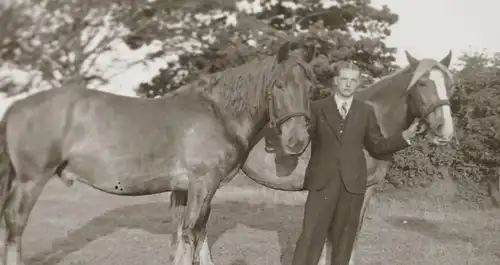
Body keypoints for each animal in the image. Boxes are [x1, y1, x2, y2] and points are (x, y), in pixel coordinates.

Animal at [0, 41, 316, 264]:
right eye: (278, 85)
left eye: (310, 87)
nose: (297, 141)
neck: (217, 112)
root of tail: (16, 107)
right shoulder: (203, 184)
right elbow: (191, 234)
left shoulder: (188, 189)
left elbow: (191, 235)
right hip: (31, 181)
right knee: (15, 224)